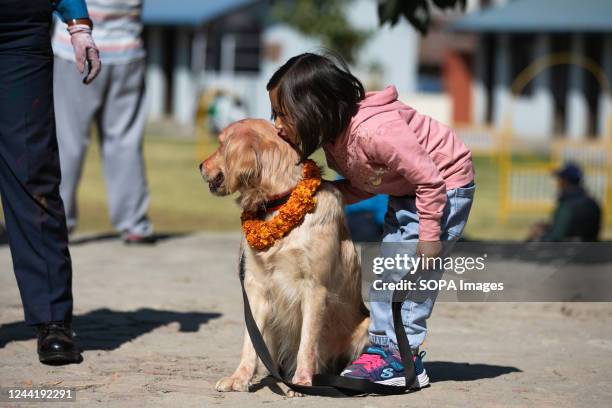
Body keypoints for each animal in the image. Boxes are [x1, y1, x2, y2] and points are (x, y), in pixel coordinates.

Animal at [201, 118, 368, 396]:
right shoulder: (256, 285)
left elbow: (307, 344)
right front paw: (239, 378)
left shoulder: (315, 287)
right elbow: (250, 341)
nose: (200, 166)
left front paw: (301, 382)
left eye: (221, 145)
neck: (280, 203)